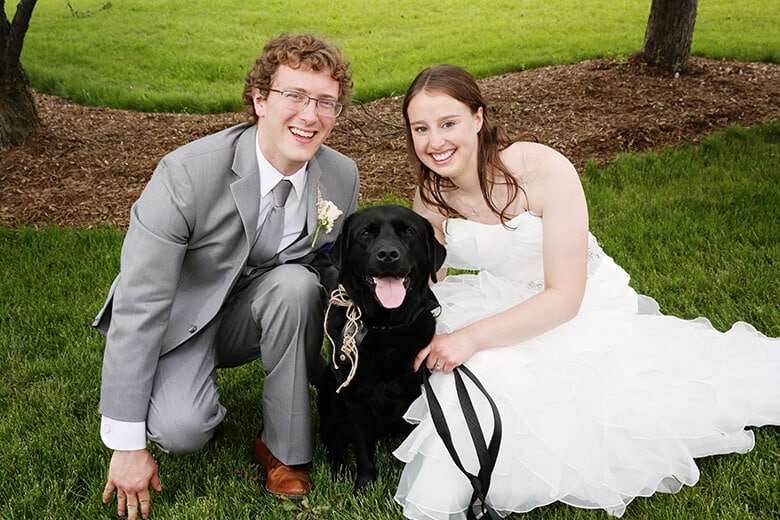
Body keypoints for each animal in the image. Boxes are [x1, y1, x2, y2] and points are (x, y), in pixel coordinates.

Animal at [314, 204, 442, 492]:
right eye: (365, 233)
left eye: (408, 231)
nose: (388, 255)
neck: (386, 330)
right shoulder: (354, 399)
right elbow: (363, 449)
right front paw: (364, 486)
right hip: (329, 391)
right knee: (334, 443)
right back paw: (338, 470)